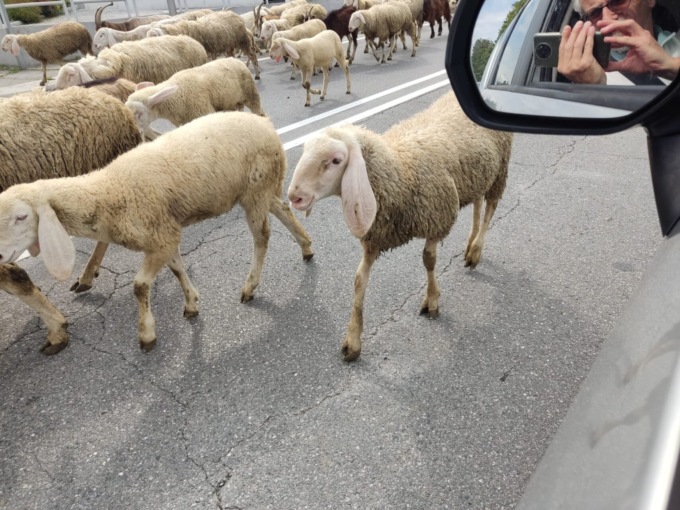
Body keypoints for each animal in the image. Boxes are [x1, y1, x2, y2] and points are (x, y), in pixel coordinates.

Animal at [0, 112, 314, 352]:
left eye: (21, 216)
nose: (1, 256)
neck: (107, 193)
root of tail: (266, 125)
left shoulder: (161, 238)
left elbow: (139, 286)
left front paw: (147, 334)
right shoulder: (163, 236)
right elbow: (176, 269)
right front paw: (191, 303)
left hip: (255, 189)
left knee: (261, 237)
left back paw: (250, 286)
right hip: (260, 189)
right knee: (283, 209)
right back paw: (307, 247)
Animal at [125, 58, 265, 140]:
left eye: (139, 114)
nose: (136, 134)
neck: (176, 96)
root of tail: (235, 59)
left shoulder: (203, 111)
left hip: (250, 94)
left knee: (260, 113)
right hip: (232, 102)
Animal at [287, 91, 513, 361]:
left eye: (335, 160)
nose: (294, 197)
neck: (401, 171)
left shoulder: (437, 219)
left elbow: (428, 260)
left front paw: (432, 301)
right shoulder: (376, 236)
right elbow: (359, 280)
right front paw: (353, 341)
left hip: (500, 171)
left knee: (490, 209)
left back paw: (476, 251)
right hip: (477, 175)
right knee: (478, 203)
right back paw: (470, 244)